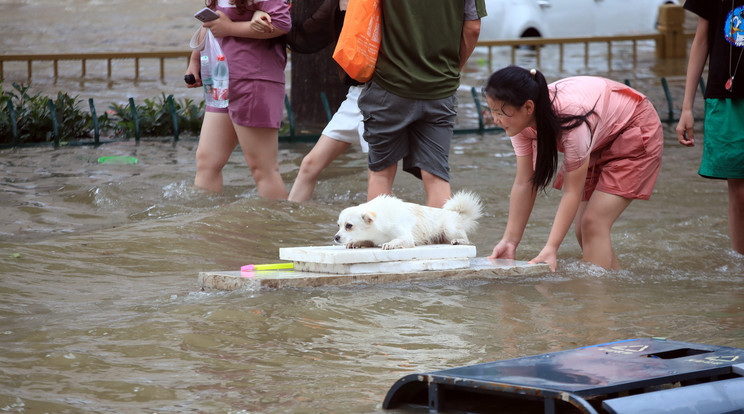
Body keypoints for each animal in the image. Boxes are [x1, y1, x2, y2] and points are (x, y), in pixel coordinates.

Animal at [332, 191, 482, 249]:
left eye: (349, 225)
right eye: (338, 225)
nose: (336, 237)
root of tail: (456, 214)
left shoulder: (407, 238)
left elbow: (397, 240)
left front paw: (390, 244)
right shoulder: (373, 238)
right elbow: (365, 241)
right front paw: (355, 242)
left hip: (449, 229)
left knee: (468, 241)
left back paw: (458, 241)